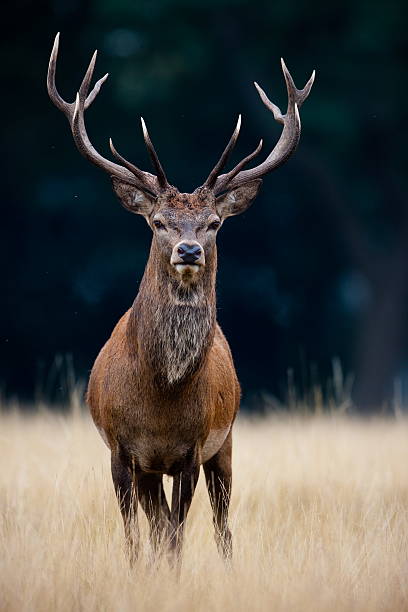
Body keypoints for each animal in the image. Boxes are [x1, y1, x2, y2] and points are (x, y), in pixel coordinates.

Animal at [47, 32, 316, 560]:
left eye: (213, 223)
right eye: (158, 222)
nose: (188, 249)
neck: (160, 397)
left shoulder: (192, 450)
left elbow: (175, 536)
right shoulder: (121, 450)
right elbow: (137, 537)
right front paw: (138, 570)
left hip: (226, 442)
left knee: (221, 524)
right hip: (155, 468)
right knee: (156, 523)